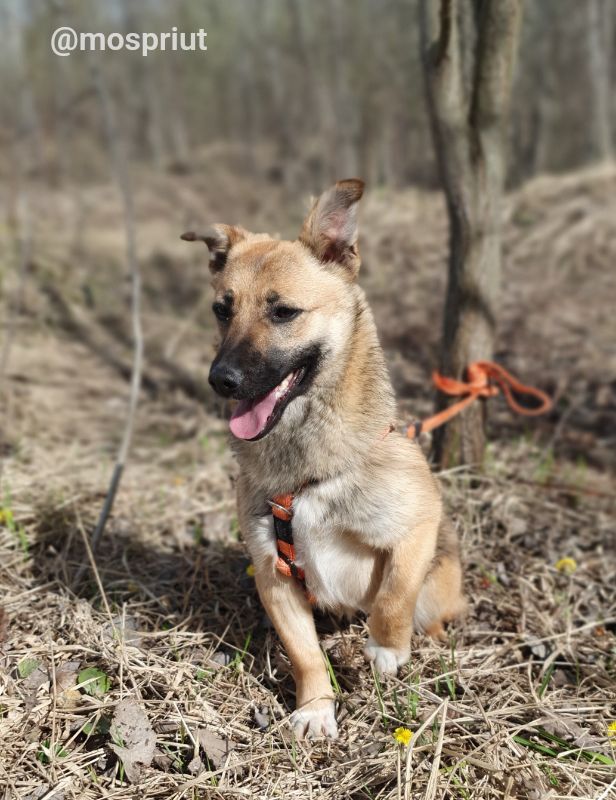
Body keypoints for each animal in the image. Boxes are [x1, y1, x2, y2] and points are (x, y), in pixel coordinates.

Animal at [183, 180, 466, 736]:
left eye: (283, 312)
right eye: (223, 309)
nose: (220, 380)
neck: (309, 467)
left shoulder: (416, 527)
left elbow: (394, 597)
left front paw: (385, 649)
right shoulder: (273, 574)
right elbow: (305, 654)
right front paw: (315, 709)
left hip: (441, 580)